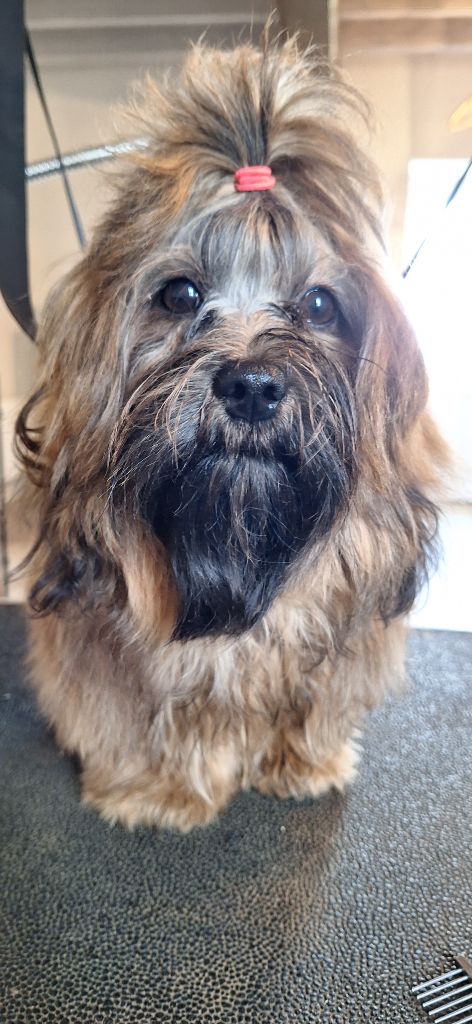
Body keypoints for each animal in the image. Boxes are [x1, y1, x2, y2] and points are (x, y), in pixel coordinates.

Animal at [16, 36, 447, 831]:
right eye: (179, 294)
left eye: (319, 304)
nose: (251, 386)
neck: (232, 547)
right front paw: (152, 787)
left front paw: (301, 762)